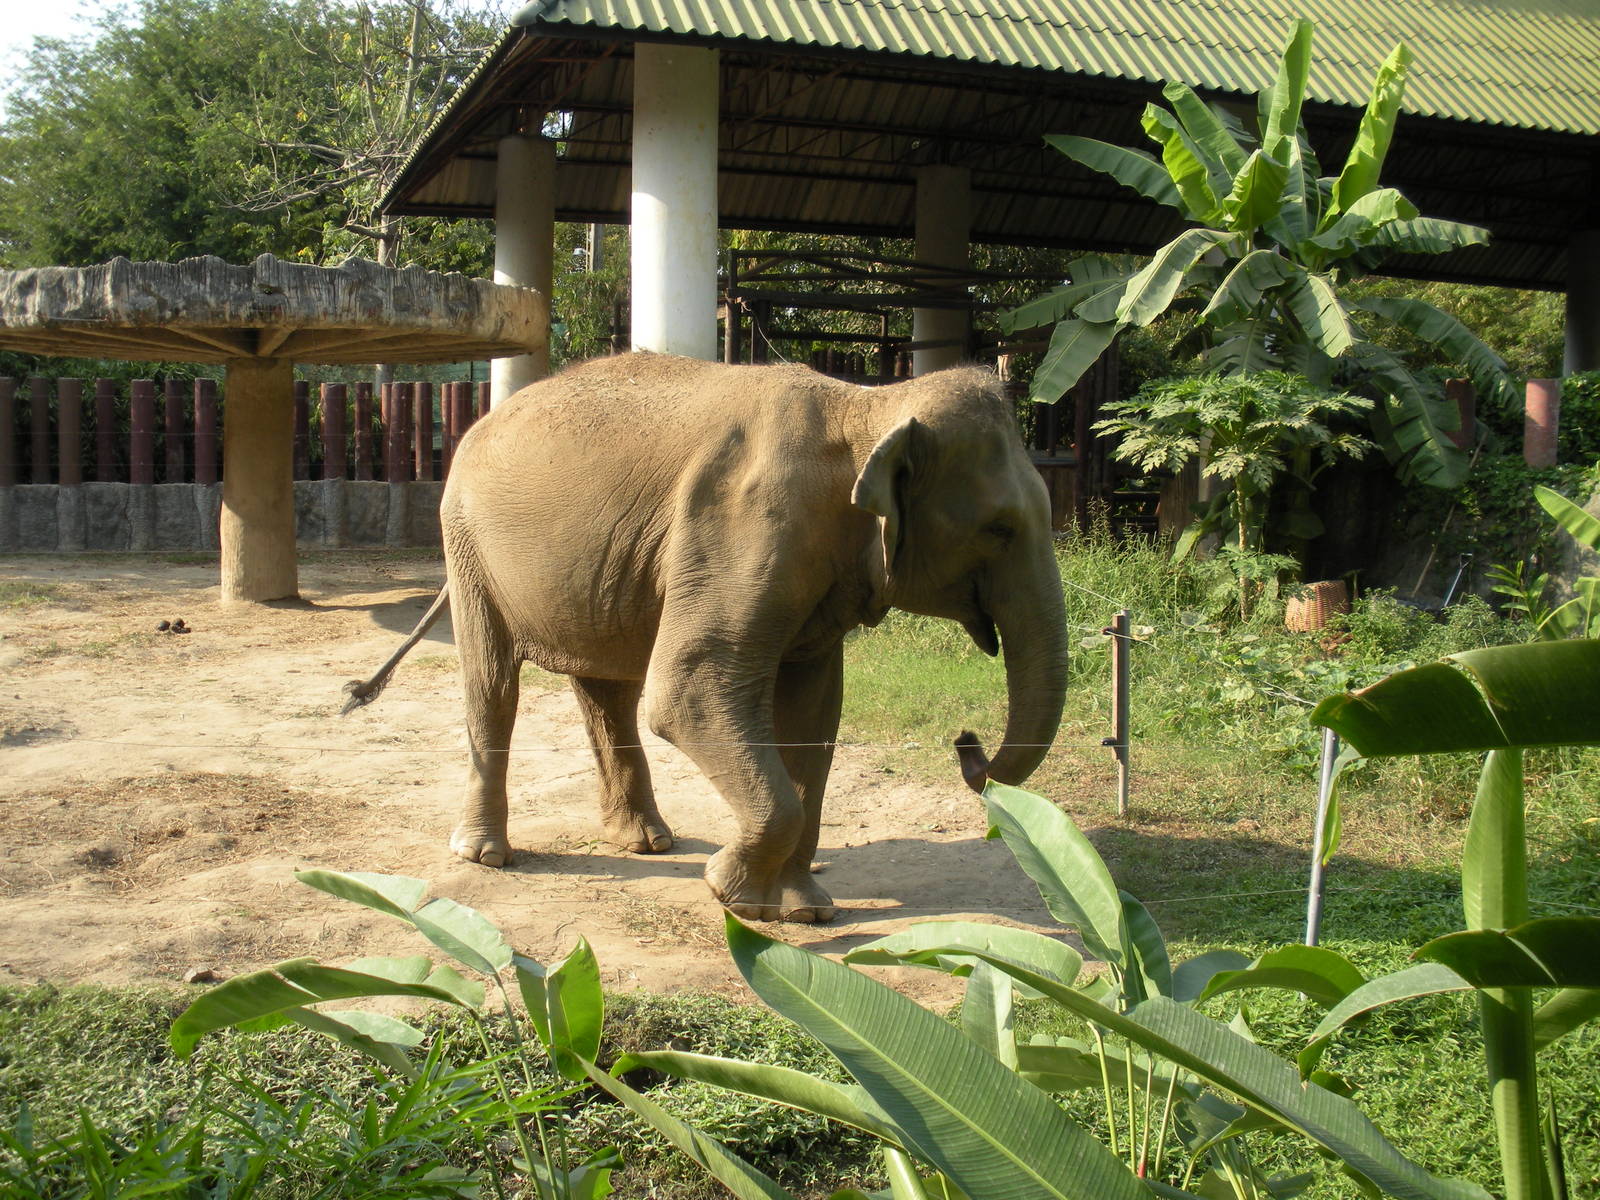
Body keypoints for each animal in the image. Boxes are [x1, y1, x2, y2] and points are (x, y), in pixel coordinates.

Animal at [344, 352, 1069, 923]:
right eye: (1000, 528)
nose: (967, 743)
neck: (868, 404)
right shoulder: (744, 526)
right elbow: (688, 692)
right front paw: (733, 894)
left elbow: (814, 713)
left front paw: (804, 911)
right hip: (466, 545)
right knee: (495, 684)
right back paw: (488, 855)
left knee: (608, 689)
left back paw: (647, 842)